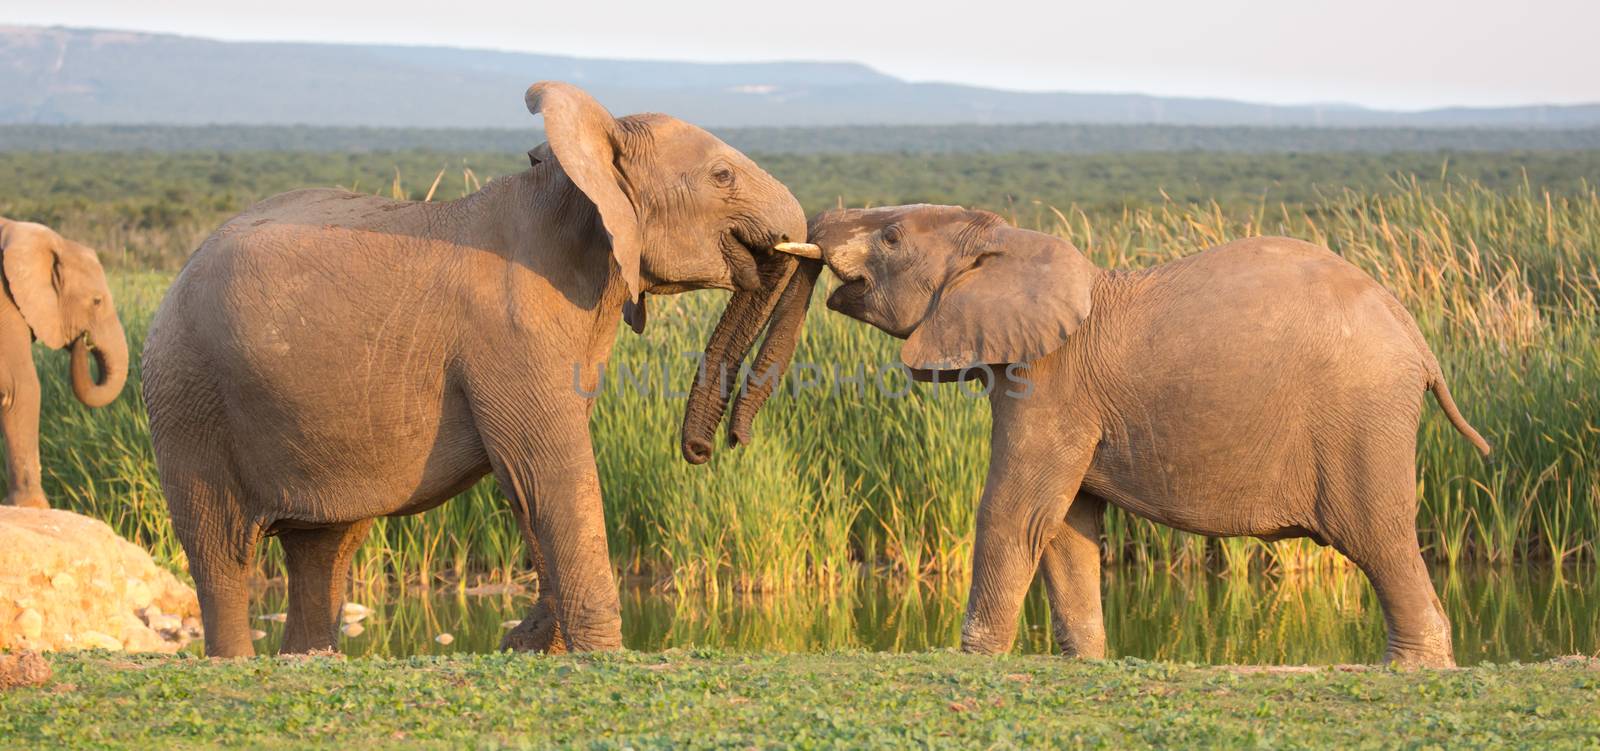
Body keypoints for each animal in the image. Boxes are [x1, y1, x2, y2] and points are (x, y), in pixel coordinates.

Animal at [147, 83, 825, 656]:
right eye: (722, 175)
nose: (707, 449)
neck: (577, 177)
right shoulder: (510, 328)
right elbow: (550, 469)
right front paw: (594, 655)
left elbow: (531, 484)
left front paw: (533, 643)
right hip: (189, 395)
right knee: (223, 553)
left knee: (325, 551)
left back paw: (309, 659)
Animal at [780, 201, 1491, 662]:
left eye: (892, 237)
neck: (1011, 245)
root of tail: (1419, 342)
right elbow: (1065, 526)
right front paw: (1087, 663)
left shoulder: (1053, 383)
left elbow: (1017, 512)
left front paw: (975, 659)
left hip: (1362, 417)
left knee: (1377, 537)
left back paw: (1413, 668)